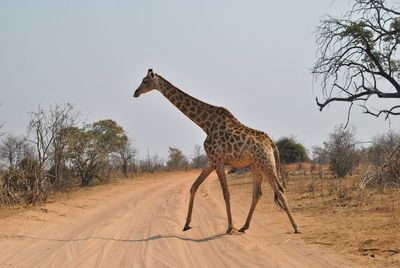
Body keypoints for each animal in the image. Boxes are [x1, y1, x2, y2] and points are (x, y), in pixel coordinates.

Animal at [133, 69, 298, 234]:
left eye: (145, 81)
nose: (136, 92)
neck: (205, 124)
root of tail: (271, 143)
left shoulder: (218, 160)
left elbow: (226, 193)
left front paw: (229, 227)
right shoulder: (212, 160)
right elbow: (194, 186)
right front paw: (186, 224)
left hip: (266, 164)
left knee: (280, 190)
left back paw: (295, 227)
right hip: (255, 165)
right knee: (258, 193)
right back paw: (244, 226)